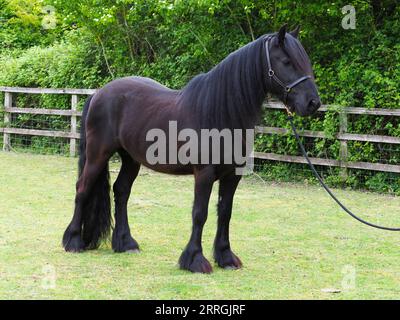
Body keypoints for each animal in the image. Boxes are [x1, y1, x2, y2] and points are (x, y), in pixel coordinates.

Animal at [62, 26, 320, 274]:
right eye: (287, 61)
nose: (313, 103)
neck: (221, 111)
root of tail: (99, 93)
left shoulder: (232, 175)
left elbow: (225, 212)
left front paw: (226, 257)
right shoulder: (204, 173)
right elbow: (200, 213)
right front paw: (195, 260)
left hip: (131, 159)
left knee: (121, 191)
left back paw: (126, 243)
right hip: (98, 154)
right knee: (82, 189)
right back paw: (73, 241)